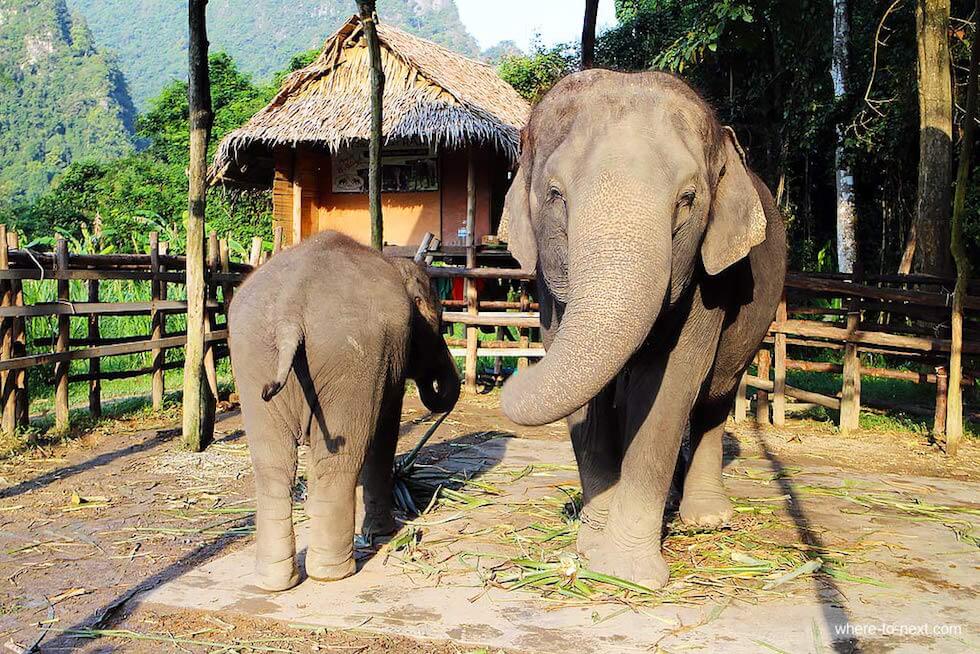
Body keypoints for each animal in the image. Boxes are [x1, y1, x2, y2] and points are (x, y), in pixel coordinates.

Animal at [228, 231, 460, 592]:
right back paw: (333, 573)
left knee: (272, 465)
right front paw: (383, 533)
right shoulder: (385, 362)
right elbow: (384, 430)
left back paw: (275, 581)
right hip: (348, 356)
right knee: (339, 461)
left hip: (253, 356)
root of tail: (289, 313)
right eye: (441, 322)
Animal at [499, 69, 787, 589]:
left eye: (687, 199)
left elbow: (669, 385)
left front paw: (625, 571)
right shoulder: (551, 290)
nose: (511, 375)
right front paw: (591, 543)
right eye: (555, 194)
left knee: (714, 398)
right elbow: (584, 395)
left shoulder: (709, 287)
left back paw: (707, 517)